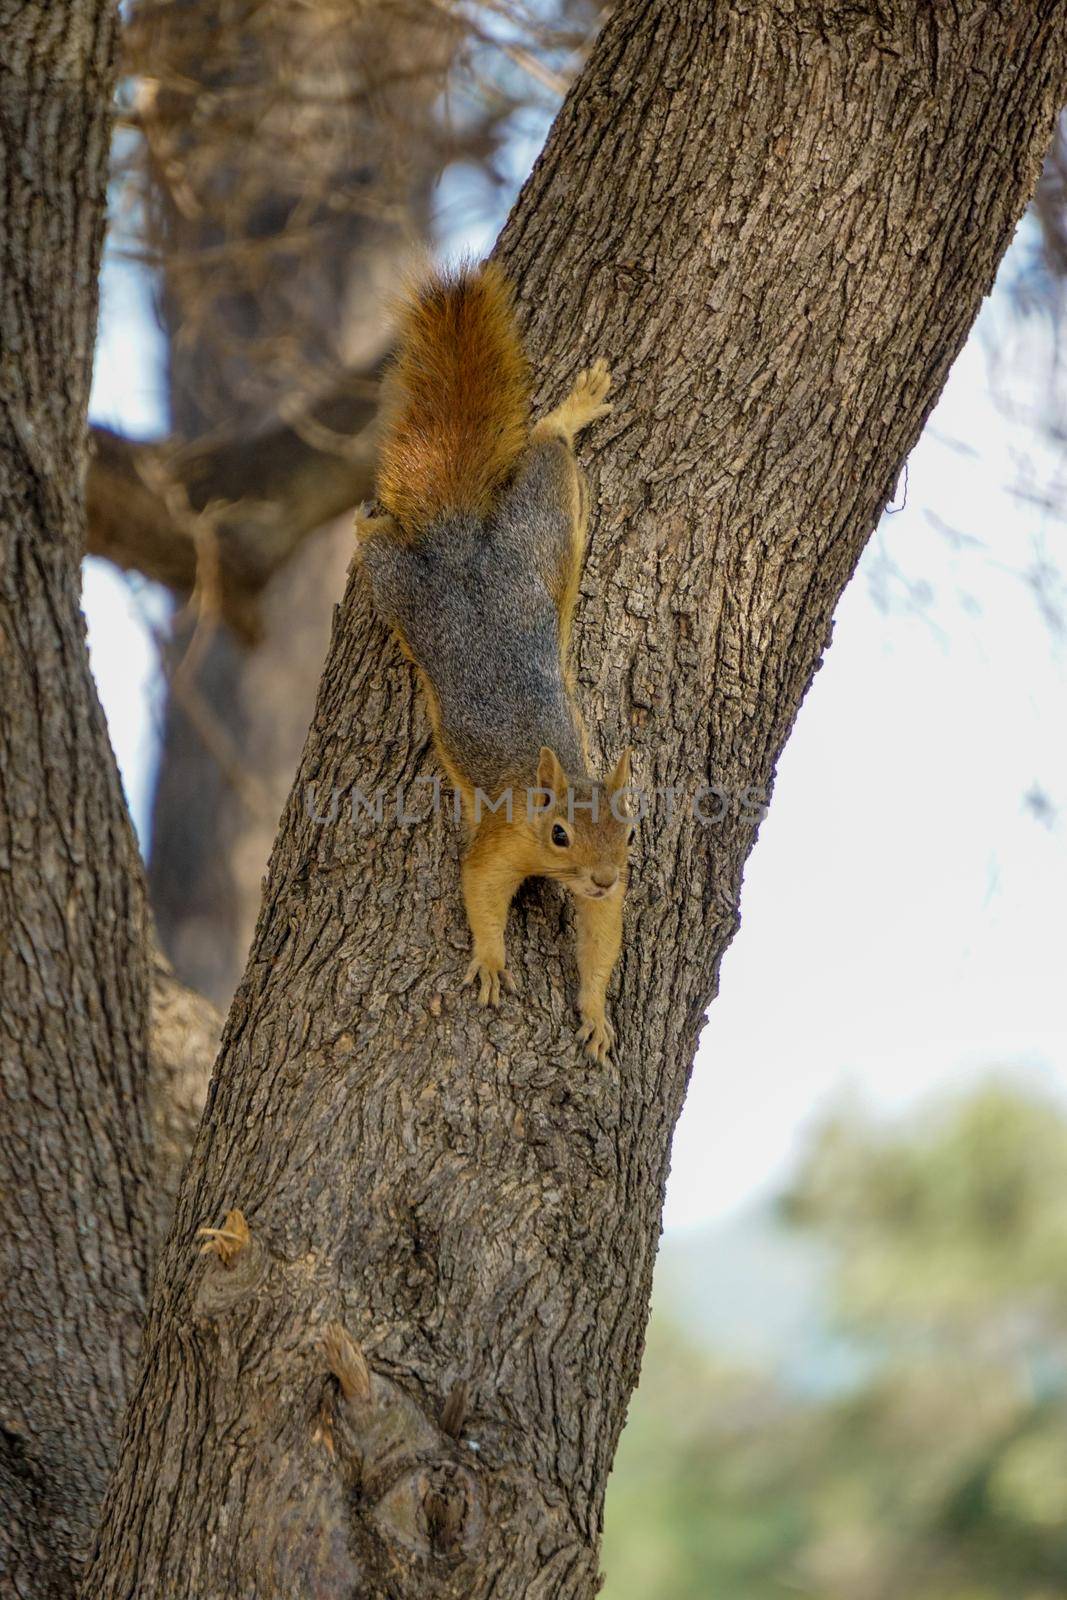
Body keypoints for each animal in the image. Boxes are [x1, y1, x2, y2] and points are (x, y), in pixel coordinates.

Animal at [355, 262, 630, 1062]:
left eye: (630, 829)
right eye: (560, 833)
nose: (601, 877)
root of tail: (463, 546)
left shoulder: (610, 892)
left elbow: (602, 937)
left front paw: (596, 1013)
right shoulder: (501, 839)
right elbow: (477, 886)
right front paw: (488, 959)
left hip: (543, 535)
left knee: (545, 449)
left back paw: (573, 411)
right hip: (407, 590)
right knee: (384, 543)